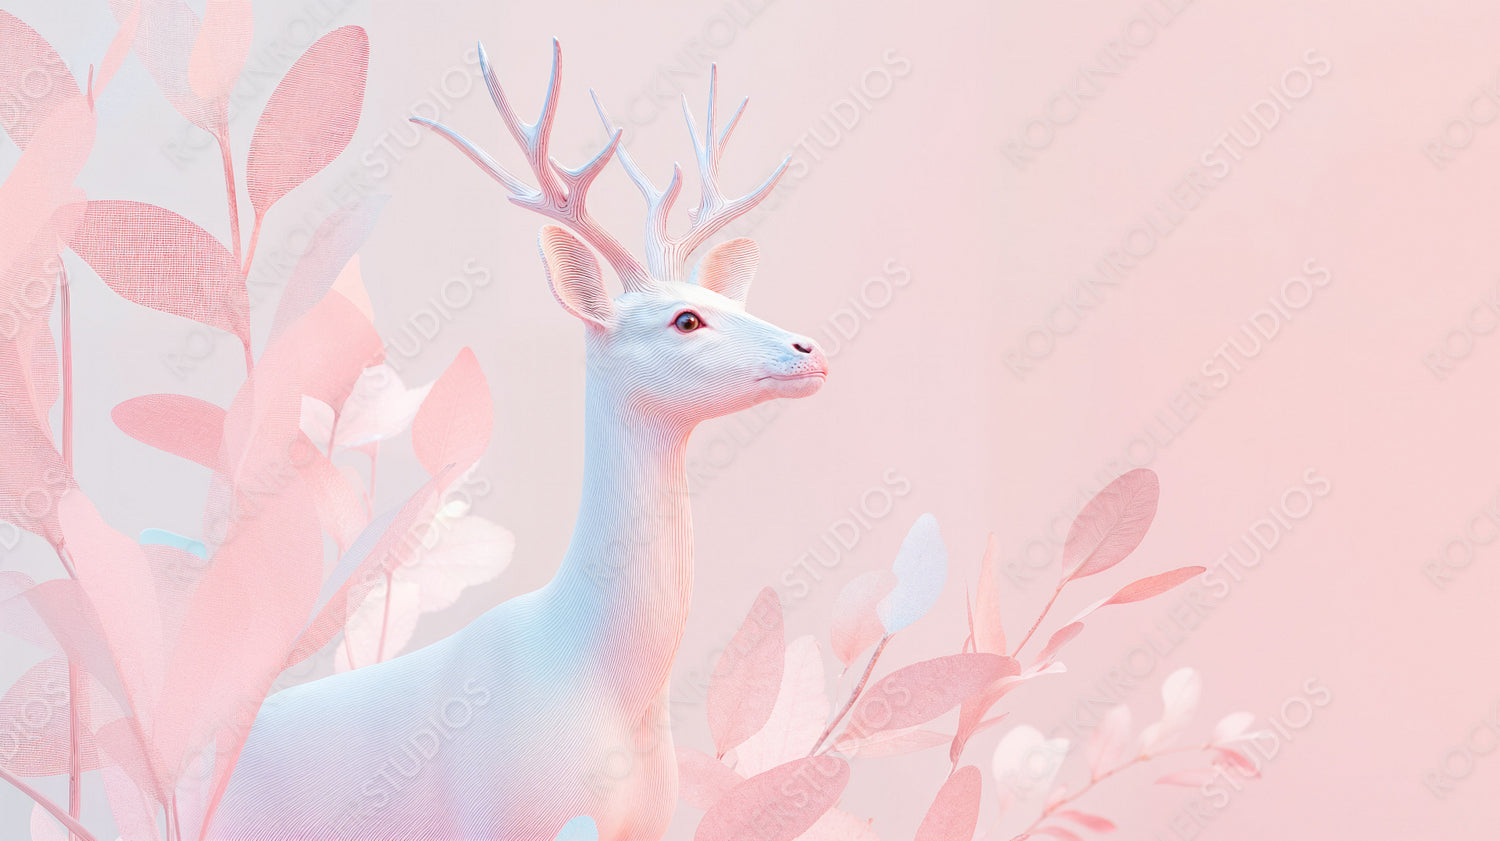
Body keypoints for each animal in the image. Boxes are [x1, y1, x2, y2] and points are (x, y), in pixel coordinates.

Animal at [207, 40, 826, 841]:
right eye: (686, 319)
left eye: (724, 299)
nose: (808, 349)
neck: (606, 682)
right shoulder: (502, 812)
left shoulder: (648, 820)